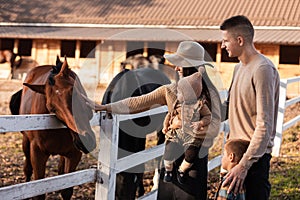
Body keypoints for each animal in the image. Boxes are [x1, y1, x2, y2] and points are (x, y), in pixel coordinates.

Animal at [9, 57, 96, 199]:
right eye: (52, 108)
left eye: (74, 92)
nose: (84, 140)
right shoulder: (38, 154)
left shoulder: (74, 154)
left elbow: (66, 191)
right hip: (26, 143)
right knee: (27, 170)